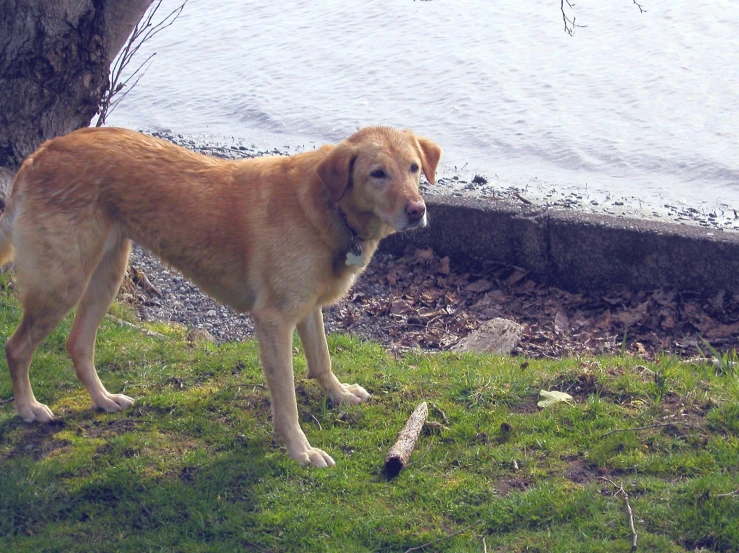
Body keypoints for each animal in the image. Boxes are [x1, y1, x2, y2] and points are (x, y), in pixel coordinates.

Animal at [0, 126, 440, 466]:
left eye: (414, 168)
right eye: (377, 174)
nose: (418, 210)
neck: (326, 206)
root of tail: (40, 153)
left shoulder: (306, 308)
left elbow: (322, 361)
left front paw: (340, 394)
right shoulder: (274, 321)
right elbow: (286, 399)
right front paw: (301, 451)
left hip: (107, 273)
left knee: (78, 344)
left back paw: (104, 400)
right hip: (62, 282)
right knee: (17, 347)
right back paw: (28, 409)